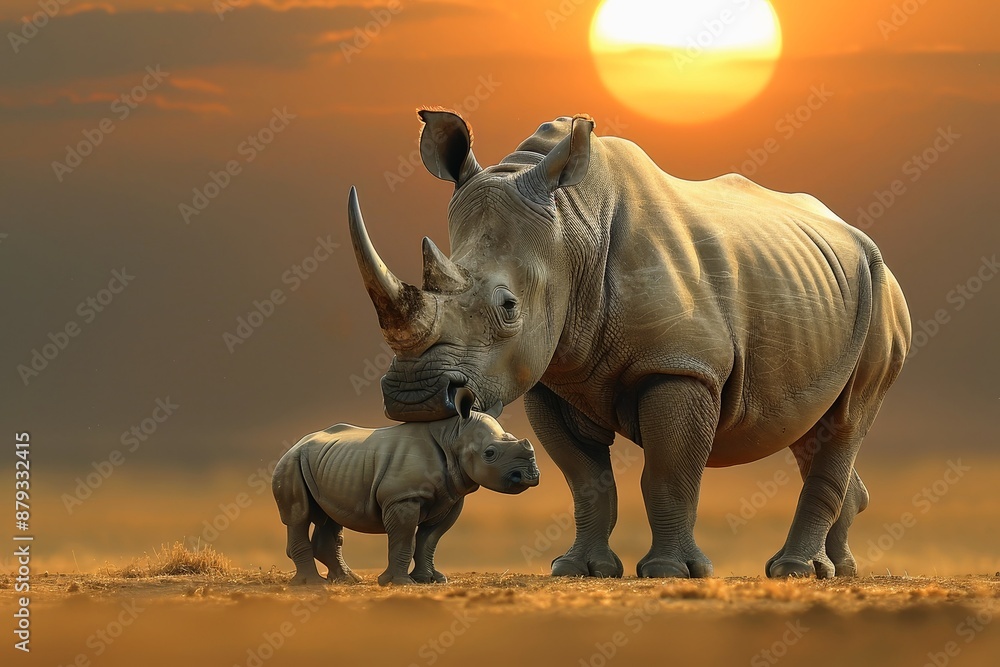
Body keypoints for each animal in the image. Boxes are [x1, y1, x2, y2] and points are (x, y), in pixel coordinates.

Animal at [346, 110, 911, 579]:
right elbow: (586, 480)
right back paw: (837, 570)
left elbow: (667, 473)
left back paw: (794, 571)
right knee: (810, 427)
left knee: (846, 420)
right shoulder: (552, 378)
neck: (572, 230)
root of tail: (855, 233)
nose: (413, 398)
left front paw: (671, 572)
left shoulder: (681, 366)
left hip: (882, 290)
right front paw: (579, 570)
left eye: (508, 307)